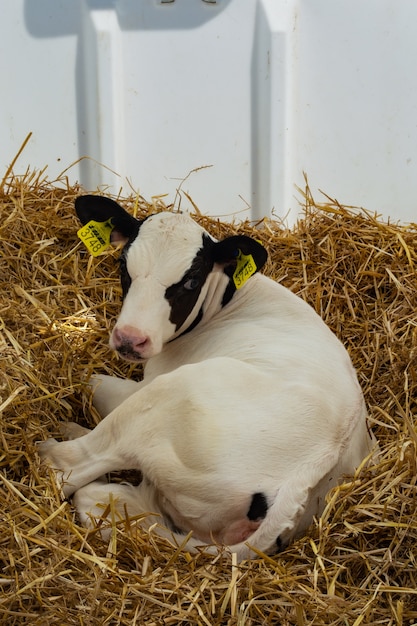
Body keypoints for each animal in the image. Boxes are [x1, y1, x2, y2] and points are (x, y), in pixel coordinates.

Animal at [38, 194, 376, 556]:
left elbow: (92, 382)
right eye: (122, 266)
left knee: (69, 467)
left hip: (167, 400)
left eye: (190, 281)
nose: (130, 338)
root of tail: (306, 473)